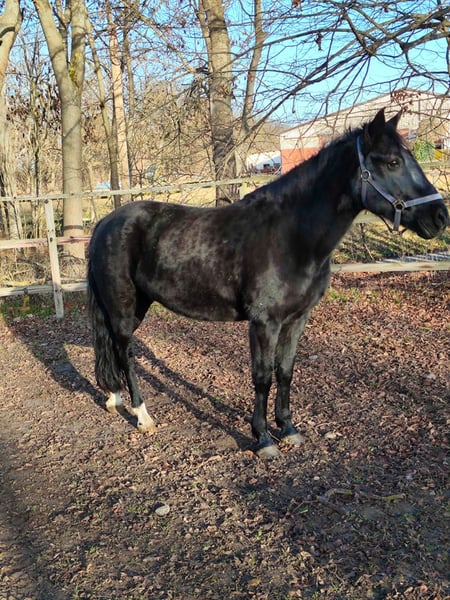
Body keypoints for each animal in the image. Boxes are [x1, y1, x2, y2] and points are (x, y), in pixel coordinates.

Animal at [87, 109, 448, 459]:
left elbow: (285, 371)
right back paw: (143, 415)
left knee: (114, 349)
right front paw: (262, 438)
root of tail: (105, 223)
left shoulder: (296, 320)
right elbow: (261, 377)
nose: (439, 217)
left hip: (137, 306)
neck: (290, 236)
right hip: (123, 309)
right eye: (392, 162)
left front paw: (287, 429)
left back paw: (115, 399)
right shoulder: (264, 323)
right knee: (125, 352)